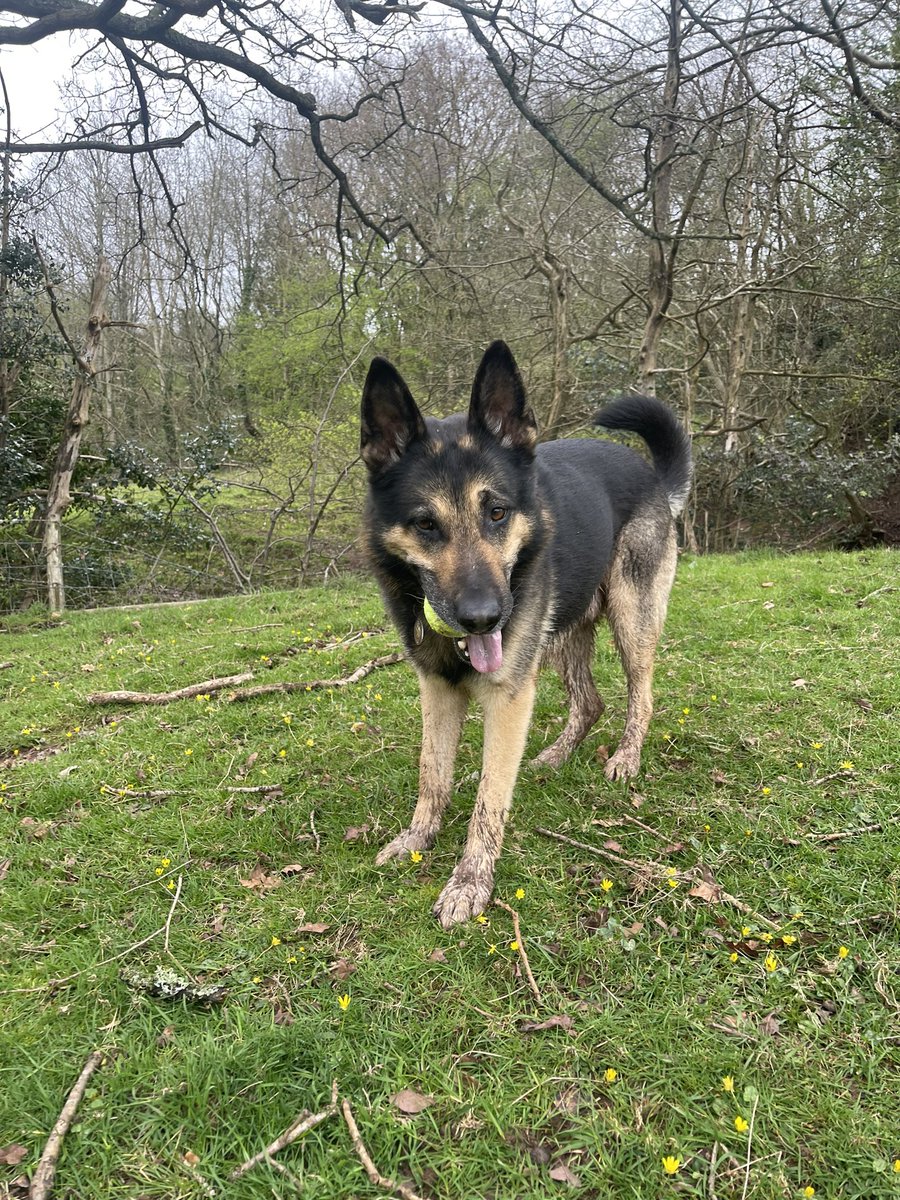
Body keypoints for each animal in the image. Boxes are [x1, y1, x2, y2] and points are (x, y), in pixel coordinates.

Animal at [362, 338, 696, 926]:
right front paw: (417, 838)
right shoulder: (437, 691)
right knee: (589, 702)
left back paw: (626, 759)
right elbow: (432, 774)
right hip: (562, 635)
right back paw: (555, 757)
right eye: (425, 524)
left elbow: (489, 797)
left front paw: (470, 881)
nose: (483, 618)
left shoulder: (509, 698)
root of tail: (654, 478)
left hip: (631, 620)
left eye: (497, 512)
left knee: (642, 695)